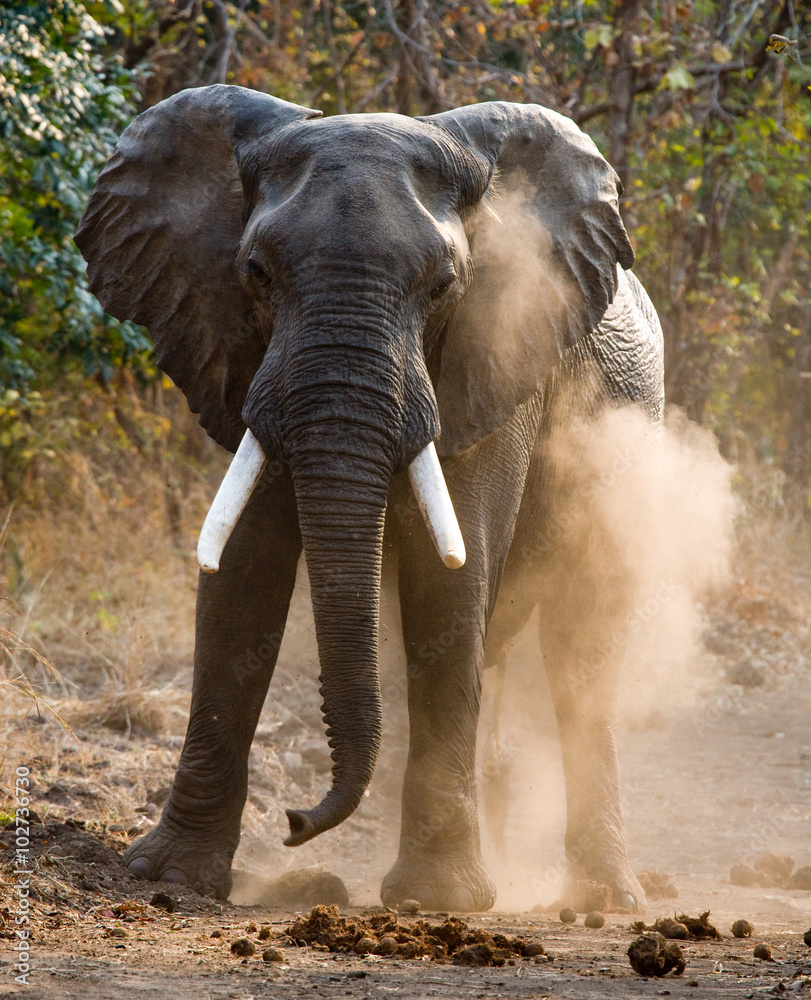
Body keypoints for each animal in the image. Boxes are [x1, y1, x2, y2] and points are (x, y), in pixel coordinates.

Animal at [75, 84, 664, 913]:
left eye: (444, 286)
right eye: (255, 273)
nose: (296, 821)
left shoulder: (497, 353)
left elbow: (448, 582)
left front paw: (436, 900)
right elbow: (242, 579)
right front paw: (170, 877)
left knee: (578, 645)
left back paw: (602, 900)